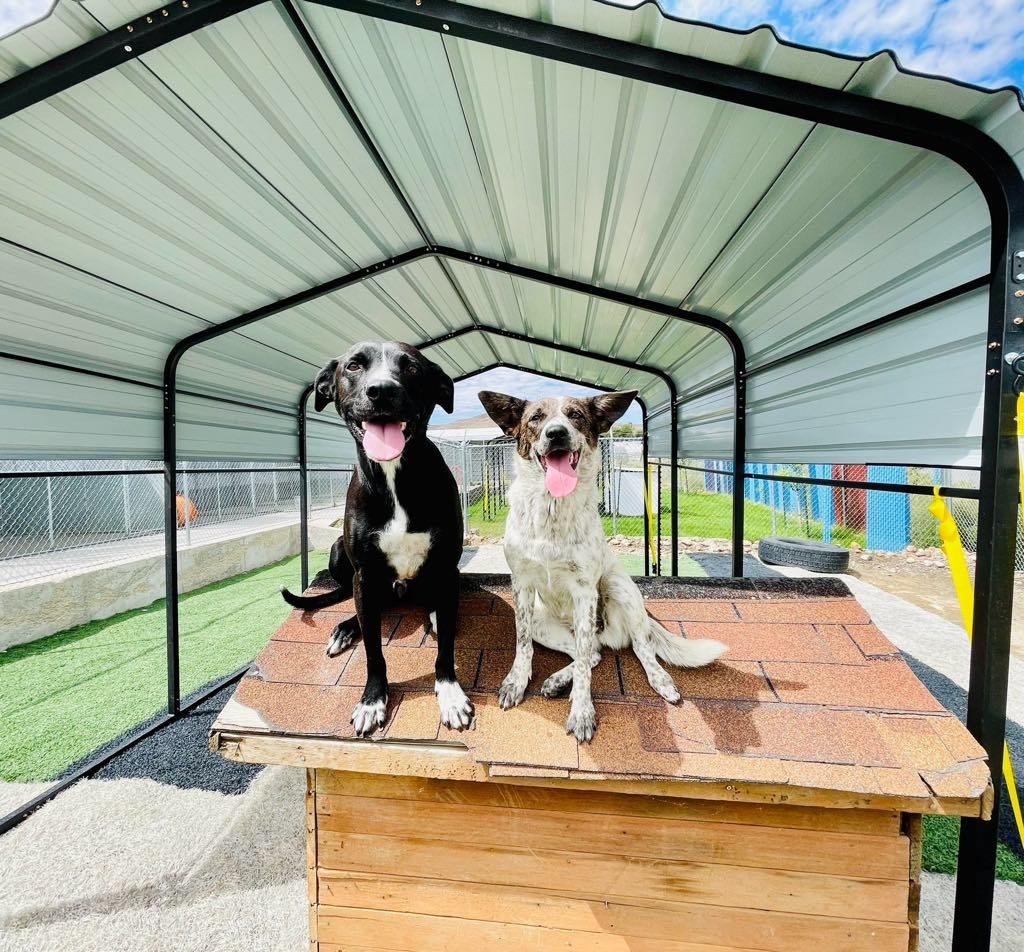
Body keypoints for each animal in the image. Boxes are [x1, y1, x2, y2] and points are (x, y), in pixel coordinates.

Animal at [280, 341, 471, 732]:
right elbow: (373, 652)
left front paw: (449, 694)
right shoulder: (365, 576)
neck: (393, 474)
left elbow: (446, 647)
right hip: (341, 555)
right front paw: (372, 700)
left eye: (411, 367)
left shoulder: (447, 570)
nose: (381, 390)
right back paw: (344, 629)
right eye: (354, 366)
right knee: (357, 604)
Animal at [479, 386, 729, 741]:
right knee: (594, 651)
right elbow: (523, 643)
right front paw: (517, 682)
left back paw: (660, 680)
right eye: (536, 418)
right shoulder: (522, 585)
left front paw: (582, 712)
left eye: (575, 416)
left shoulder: (585, 591)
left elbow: (587, 665)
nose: (556, 433)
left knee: (636, 647)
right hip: (545, 622)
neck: (552, 506)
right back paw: (556, 682)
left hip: (618, 589)